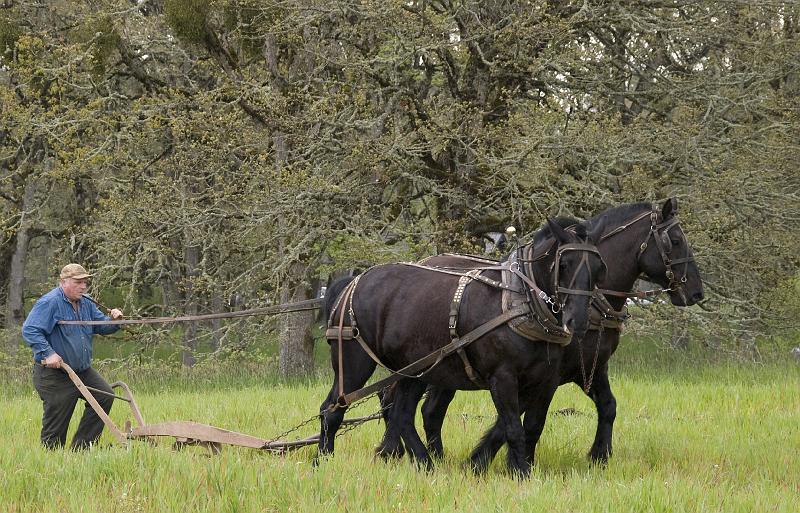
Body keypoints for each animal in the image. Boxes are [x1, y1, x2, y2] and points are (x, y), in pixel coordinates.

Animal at [318, 217, 608, 476]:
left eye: (598, 268)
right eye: (564, 264)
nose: (578, 320)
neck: (518, 300)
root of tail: (353, 282)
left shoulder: (544, 380)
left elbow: (528, 426)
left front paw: (496, 465)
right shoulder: (502, 377)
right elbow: (514, 427)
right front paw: (520, 472)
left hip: (414, 370)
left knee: (402, 414)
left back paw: (426, 464)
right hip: (354, 362)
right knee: (332, 409)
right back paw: (322, 461)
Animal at [374, 198, 700, 466]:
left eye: (600, 268)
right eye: (675, 240)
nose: (697, 292)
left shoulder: (591, 367)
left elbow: (608, 406)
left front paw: (599, 457)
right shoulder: (545, 374)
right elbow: (512, 420)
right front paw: (485, 460)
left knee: (429, 409)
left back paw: (424, 455)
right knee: (400, 400)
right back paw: (393, 450)